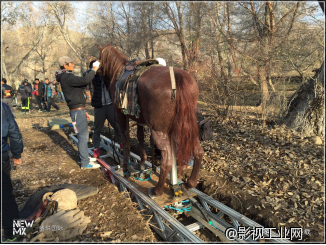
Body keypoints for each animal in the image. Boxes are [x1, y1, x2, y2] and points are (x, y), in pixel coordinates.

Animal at [97, 43, 204, 197]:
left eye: (100, 57)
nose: (97, 71)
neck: (118, 70)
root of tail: (177, 78)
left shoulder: (121, 115)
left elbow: (126, 140)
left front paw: (125, 169)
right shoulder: (139, 119)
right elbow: (140, 137)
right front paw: (142, 163)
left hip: (159, 130)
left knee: (167, 161)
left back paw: (157, 190)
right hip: (188, 127)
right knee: (198, 152)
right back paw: (189, 184)